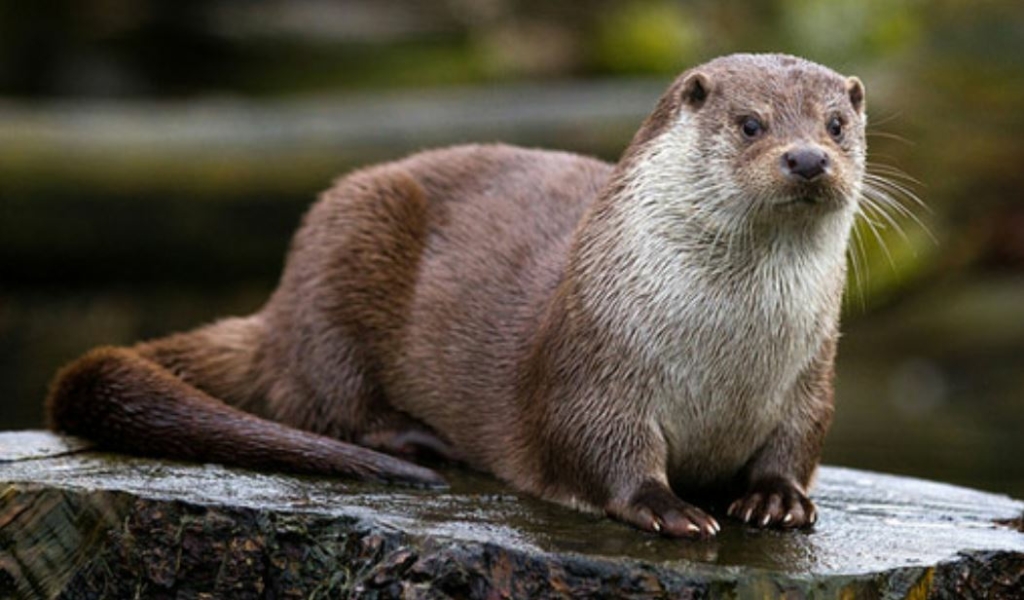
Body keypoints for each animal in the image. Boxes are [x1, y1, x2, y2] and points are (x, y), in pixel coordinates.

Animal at [46, 52, 864, 536]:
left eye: (837, 124)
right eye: (750, 122)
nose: (806, 158)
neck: (727, 356)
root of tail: (276, 311)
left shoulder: (812, 376)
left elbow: (799, 441)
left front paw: (775, 499)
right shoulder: (592, 364)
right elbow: (597, 446)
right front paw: (669, 508)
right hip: (343, 244)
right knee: (319, 398)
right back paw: (415, 440)